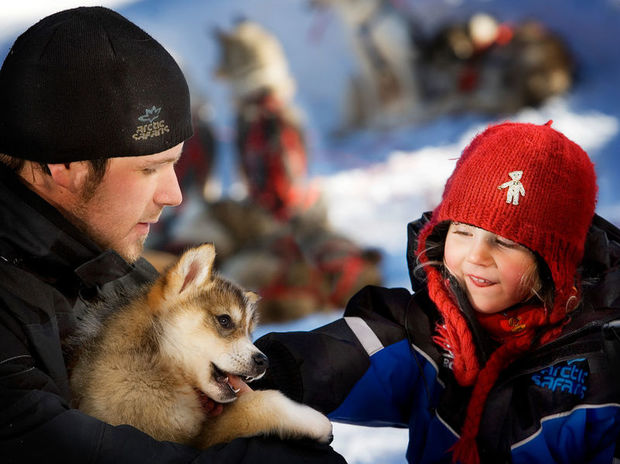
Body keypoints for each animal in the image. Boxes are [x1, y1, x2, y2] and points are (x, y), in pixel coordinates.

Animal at [69, 245, 334, 448]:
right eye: (224, 320)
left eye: (250, 332)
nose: (263, 362)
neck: (157, 357)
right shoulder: (179, 437)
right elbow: (256, 404)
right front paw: (312, 420)